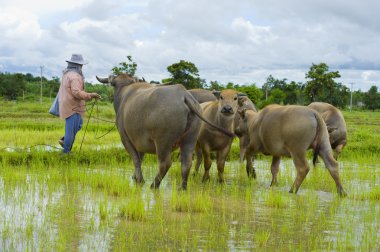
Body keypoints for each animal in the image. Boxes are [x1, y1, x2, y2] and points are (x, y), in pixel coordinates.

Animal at [96, 74, 233, 190]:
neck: (125, 93)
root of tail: (184, 95)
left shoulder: (125, 137)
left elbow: (135, 159)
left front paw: (139, 179)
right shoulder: (140, 142)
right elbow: (140, 158)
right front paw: (135, 177)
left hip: (163, 142)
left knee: (165, 163)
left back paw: (154, 185)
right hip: (190, 138)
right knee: (187, 162)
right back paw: (183, 187)